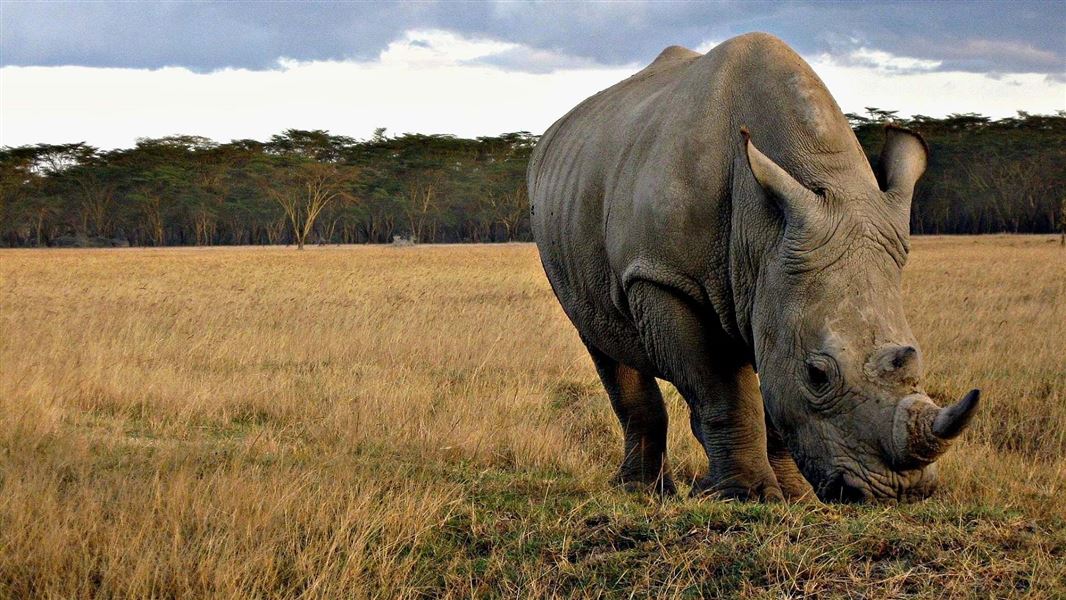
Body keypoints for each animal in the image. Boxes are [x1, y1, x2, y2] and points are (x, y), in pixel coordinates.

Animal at [528, 32, 976, 503]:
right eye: (817, 374)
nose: (896, 491)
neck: (764, 233)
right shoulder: (664, 276)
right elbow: (722, 388)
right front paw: (748, 495)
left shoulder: (777, 275)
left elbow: (774, 393)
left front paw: (795, 496)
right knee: (601, 340)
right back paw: (643, 491)